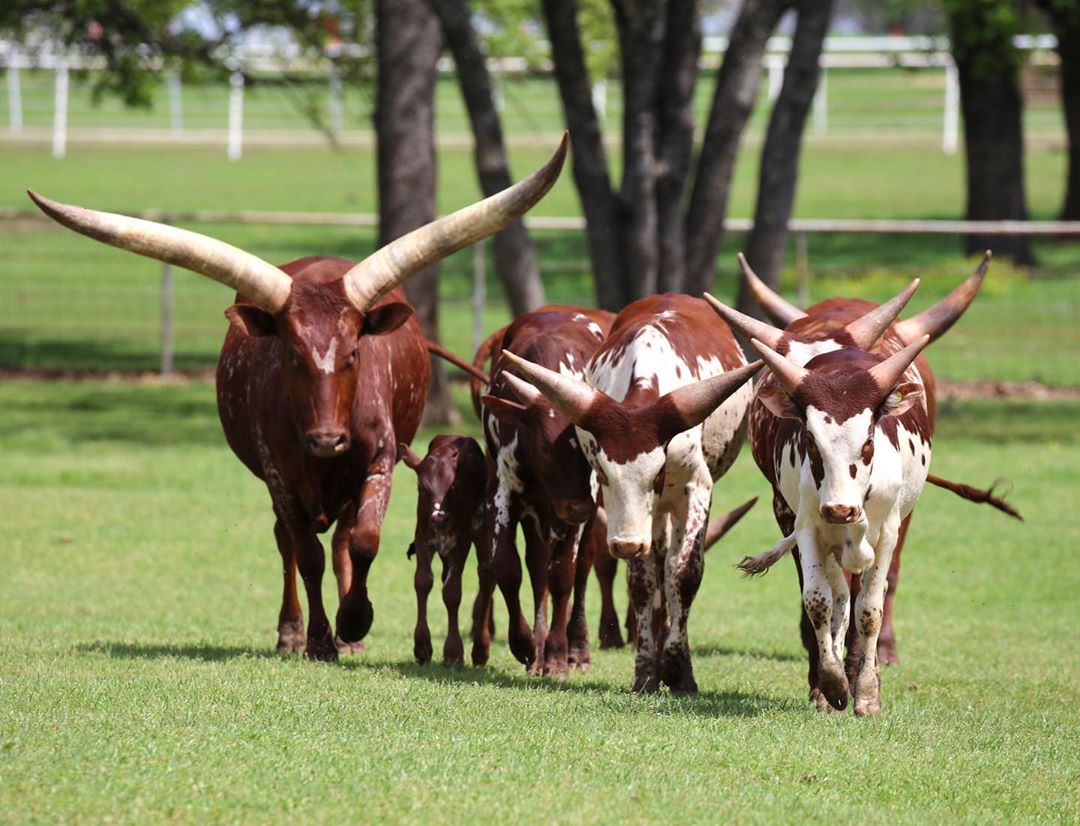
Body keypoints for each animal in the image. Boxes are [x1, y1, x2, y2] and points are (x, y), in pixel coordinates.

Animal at [401, 434, 486, 665]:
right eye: (422, 486)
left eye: (454, 486)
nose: (439, 519)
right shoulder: (422, 536)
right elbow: (422, 581)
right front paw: (422, 646)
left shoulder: (462, 541)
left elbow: (452, 592)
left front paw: (454, 653)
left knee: (487, 577)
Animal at [475, 306, 617, 673]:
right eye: (543, 446)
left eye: (591, 447)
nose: (578, 508)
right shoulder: (502, 494)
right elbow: (507, 567)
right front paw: (525, 644)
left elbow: (564, 575)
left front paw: (556, 655)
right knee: (538, 566)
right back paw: (537, 650)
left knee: (582, 567)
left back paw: (575, 648)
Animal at [501, 293, 764, 691]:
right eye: (602, 474)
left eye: (657, 473)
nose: (625, 544)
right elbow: (642, 583)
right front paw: (646, 671)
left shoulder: (695, 489)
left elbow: (684, 574)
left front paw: (679, 670)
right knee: (656, 564)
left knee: (670, 566)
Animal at [708, 254, 1019, 712]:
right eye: (809, 439)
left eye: (869, 439)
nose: (840, 508)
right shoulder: (800, 521)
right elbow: (819, 599)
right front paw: (828, 684)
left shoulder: (886, 527)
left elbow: (868, 607)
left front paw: (866, 690)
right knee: (836, 592)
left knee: (876, 587)